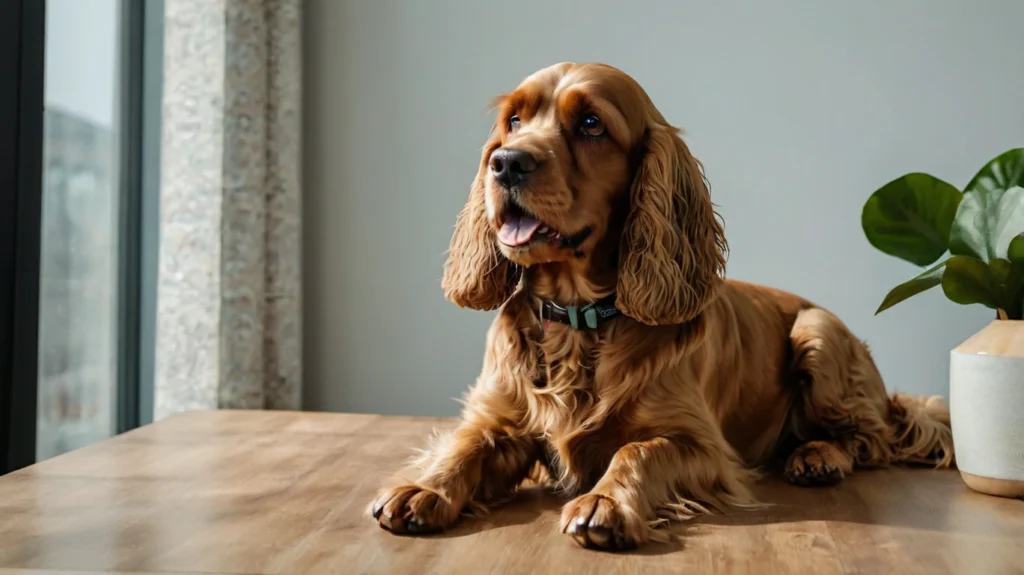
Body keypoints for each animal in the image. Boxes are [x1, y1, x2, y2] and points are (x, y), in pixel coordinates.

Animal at [368, 60, 950, 548]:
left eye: (592, 125)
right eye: (513, 119)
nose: (506, 163)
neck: (576, 319)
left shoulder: (703, 446)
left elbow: (638, 450)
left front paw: (603, 502)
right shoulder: (501, 419)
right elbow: (464, 445)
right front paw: (423, 488)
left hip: (819, 333)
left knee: (872, 439)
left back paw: (818, 454)